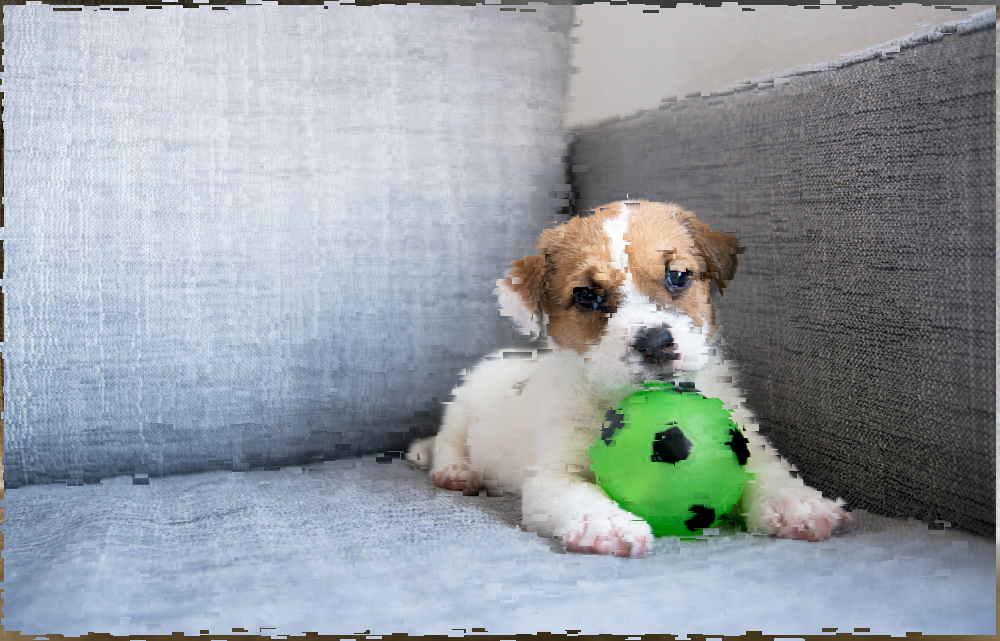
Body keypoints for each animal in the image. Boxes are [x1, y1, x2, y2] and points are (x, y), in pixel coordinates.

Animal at [406, 200, 852, 556]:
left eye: (677, 276)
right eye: (587, 295)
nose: (655, 342)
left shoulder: (748, 442)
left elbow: (769, 471)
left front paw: (795, 503)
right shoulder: (553, 474)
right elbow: (580, 493)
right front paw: (605, 522)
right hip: (464, 403)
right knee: (447, 443)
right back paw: (456, 471)